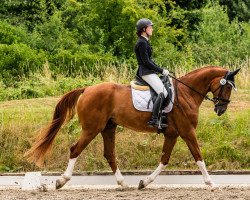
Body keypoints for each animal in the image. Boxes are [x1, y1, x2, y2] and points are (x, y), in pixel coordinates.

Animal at [24, 65, 240, 189]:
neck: (186, 93)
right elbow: (198, 157)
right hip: (91, 129)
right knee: (75, 149)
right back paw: (62, 181)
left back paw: (123, 184)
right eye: (227, 86)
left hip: (108, 128)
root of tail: (87, 89)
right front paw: (211, 183)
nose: (221, 109)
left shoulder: (172, 134)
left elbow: (164, 160)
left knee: (109, 154)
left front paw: (144, 182)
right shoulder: (187, 132)